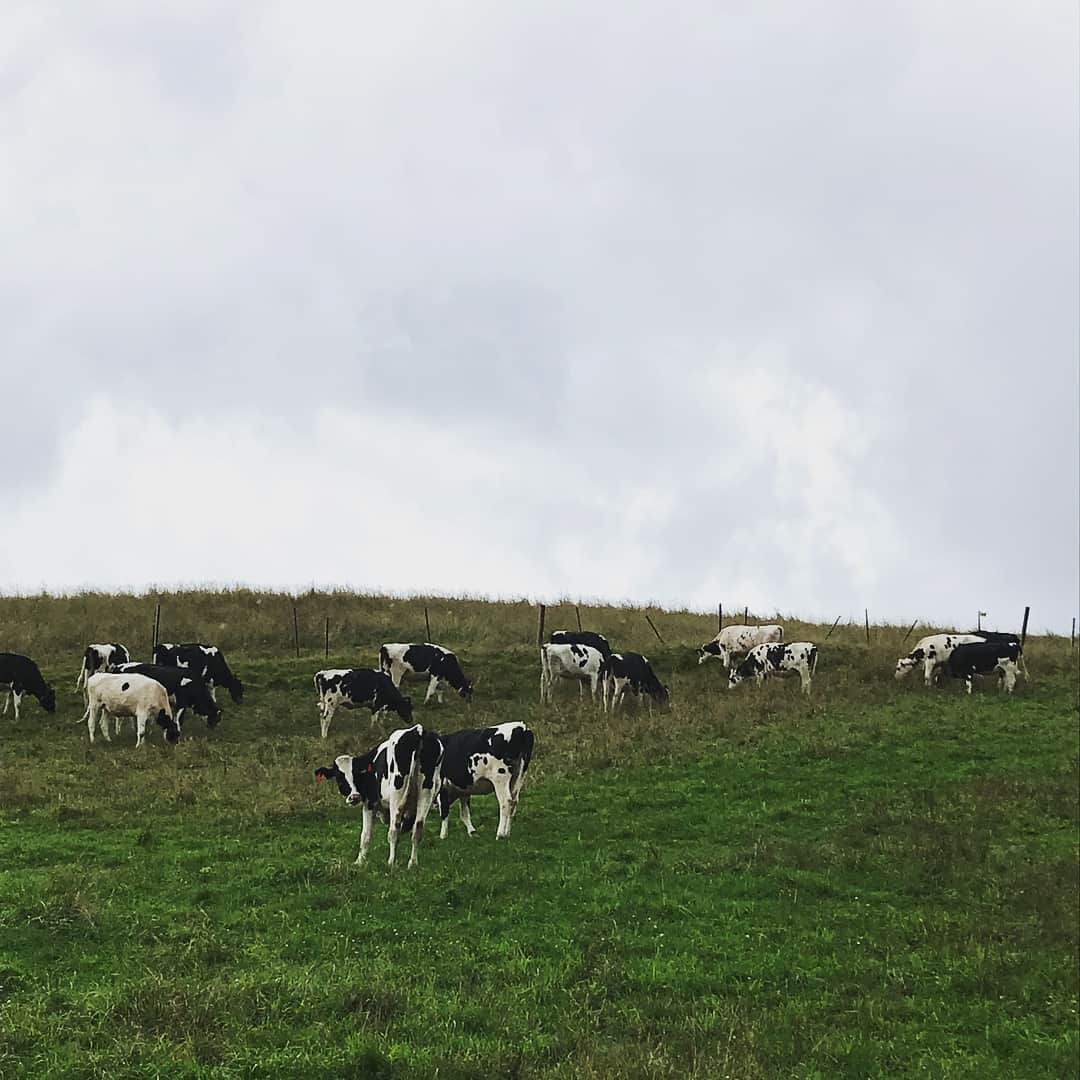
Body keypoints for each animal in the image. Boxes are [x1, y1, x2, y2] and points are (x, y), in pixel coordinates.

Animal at [315, 725, 444, 868]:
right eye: (339, 778)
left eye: (356, 774)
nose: (354, 797)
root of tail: (417, 730)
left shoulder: (369, 803)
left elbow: (365, 835)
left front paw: (359, 861)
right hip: (426, 793)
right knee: (418, 829)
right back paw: (412, 863)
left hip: (397, 796)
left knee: (394, 830)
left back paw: (391, 862)